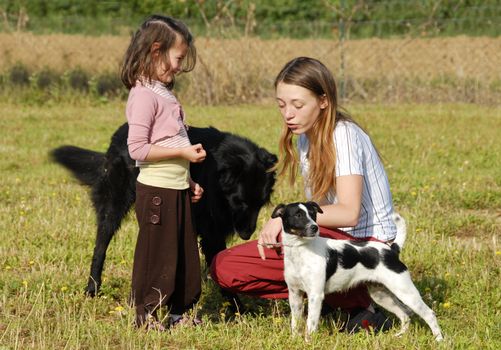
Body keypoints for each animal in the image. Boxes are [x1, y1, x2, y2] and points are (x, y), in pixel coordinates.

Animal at [50, 123, 278, 298]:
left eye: (260, 203)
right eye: (240, 202)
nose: (247, 234)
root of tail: (120, 132)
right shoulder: (212, 231)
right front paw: (236, 308)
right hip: (115, 206)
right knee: (100, 246)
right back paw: (93, 288)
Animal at [274, 202, 442, 342]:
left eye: (313, 214)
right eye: (298, 215)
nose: (315, 227)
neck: (301, 250)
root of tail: (392, 250)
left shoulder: (315, 295)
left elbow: (311, 323)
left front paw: (308, 342)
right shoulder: (295, 294)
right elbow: (295, 323)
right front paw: (294, 340)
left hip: (405, 292)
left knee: (428, 314)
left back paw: (439, 340)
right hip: (381, 295)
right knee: (404, 315)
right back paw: (400, 335)